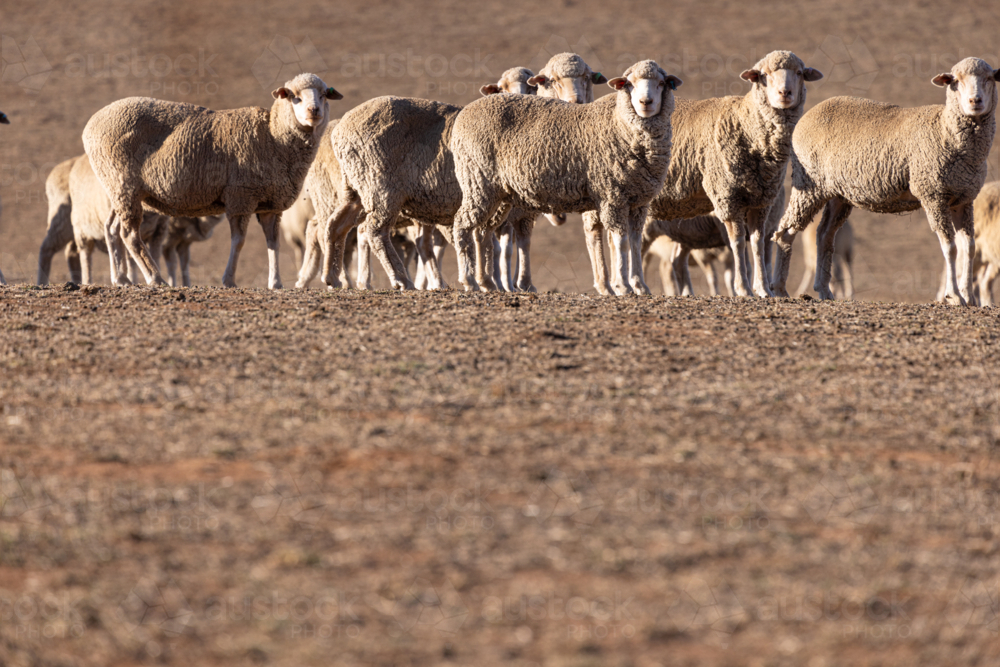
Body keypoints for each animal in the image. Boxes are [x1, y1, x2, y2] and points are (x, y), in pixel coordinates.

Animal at [82, 73, 342, 288]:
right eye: (294, 97)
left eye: (323, 95)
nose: (314, 110)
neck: (273, 137)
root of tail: (91, 124)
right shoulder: (240, 196)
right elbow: (238, 241)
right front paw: (229, 280)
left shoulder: (271, 205)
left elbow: (273, 243)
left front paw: (275, 283)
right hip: (124, 185)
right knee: (130, 235)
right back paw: (155, 278)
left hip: (119, 190)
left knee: (112, 229)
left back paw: (121, 279)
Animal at [449, 60, 682, 292]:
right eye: (629, 84)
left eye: (661, 83)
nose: (645, 102)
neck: (620, 123)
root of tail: (466, 112)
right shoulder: (612, 196)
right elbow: (621, 241)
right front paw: (623, 286)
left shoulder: (639, 201)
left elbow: (634, 242)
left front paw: (640, 285)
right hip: (477, 181)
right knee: (462, 225)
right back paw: (469, 280)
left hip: (497, 193)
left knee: (482, 231)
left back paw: (486, 282)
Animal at [624, 51, 822, 299]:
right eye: (764, 75)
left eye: (799, 73)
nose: (785, 93)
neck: (746, 125)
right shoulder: (727, 196)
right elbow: (737, 243)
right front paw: (743, 288)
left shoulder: (761, 202)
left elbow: (757, 243)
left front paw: (764, 289)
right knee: (628, 243)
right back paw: (629, 285)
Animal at [772, 57, 999, 305]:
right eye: (955, 81)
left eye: (989, 78)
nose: (975, 101)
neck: (944, 129)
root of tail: (810, 113)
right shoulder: (934, 195)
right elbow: (950, 247)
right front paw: (954, 296)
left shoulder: (963, 199)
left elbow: (969, 247)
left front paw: (970, 297)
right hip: (808, 184)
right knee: (786, 230)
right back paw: (779, 289)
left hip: (838, 194)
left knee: (824, 235)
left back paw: (824, 291)